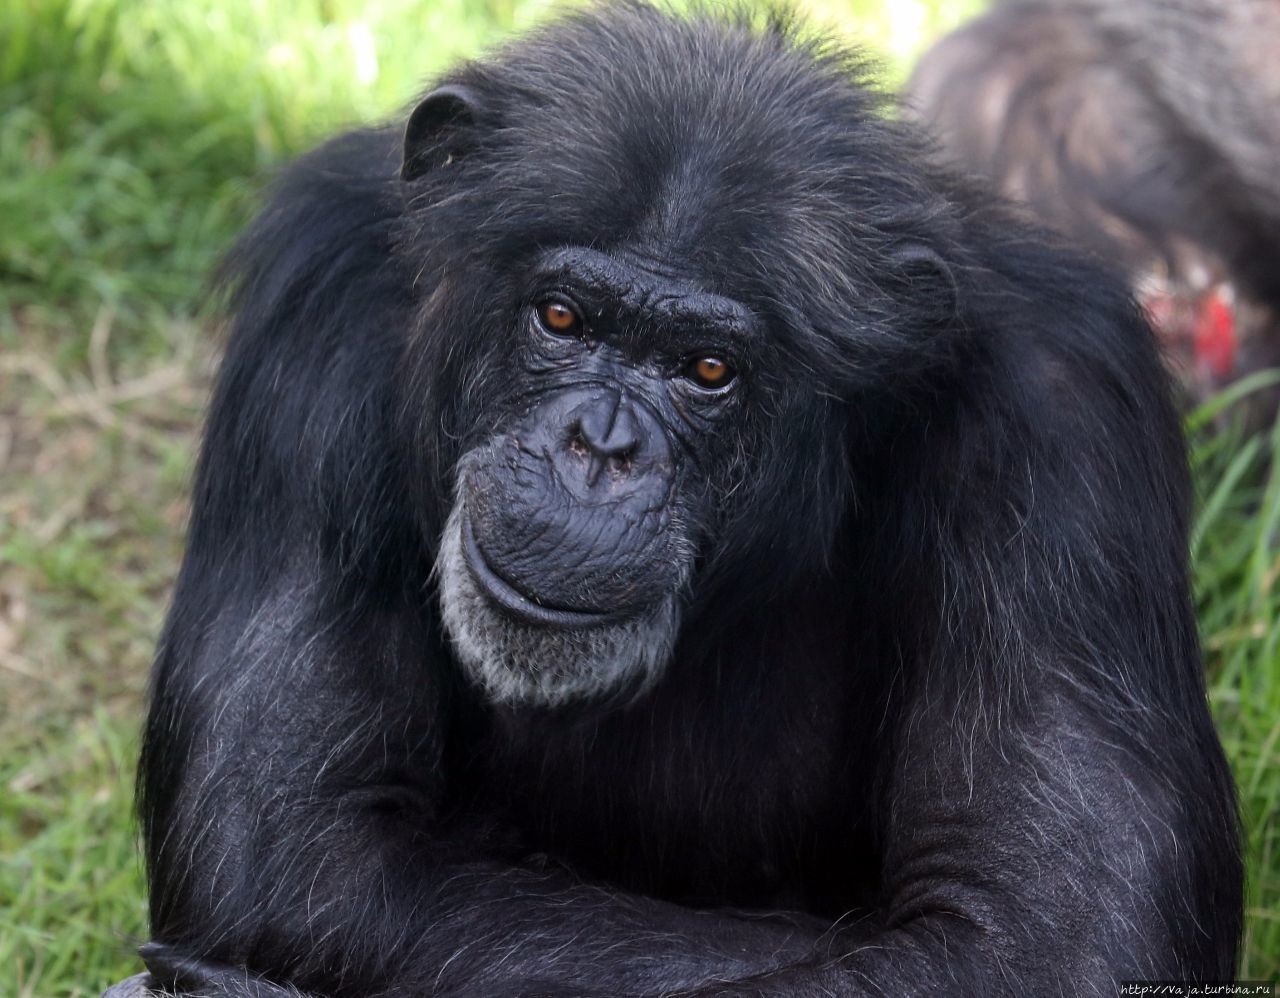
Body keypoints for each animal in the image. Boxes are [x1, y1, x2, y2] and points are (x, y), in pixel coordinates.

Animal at [120, 3, 1239, 992]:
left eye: (706, 370)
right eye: (560, 316)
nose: (598, 447)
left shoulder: (1062, 415)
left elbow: (1044, 927)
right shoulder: (323, 296)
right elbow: (303, 829)